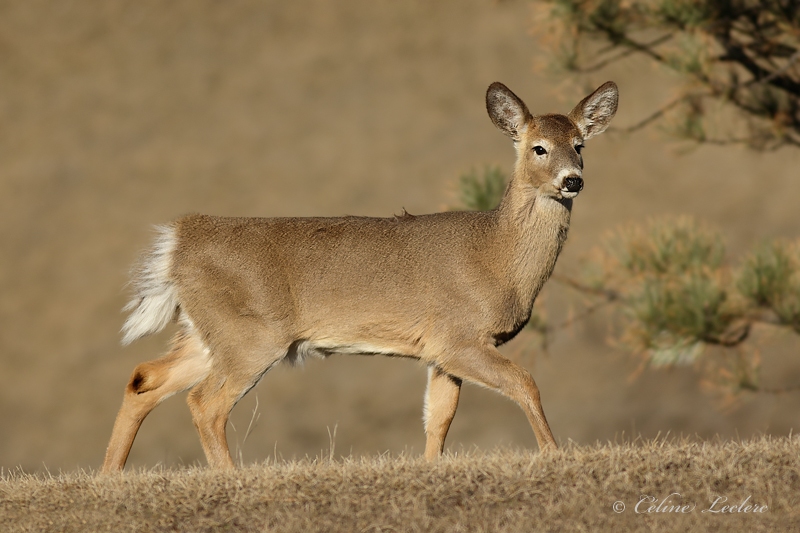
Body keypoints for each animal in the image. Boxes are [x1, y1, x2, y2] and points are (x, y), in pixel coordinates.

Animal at [101, 81, 620, 472]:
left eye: (580, 145)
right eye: (538, 148)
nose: (572, 179)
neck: (496, 255)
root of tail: (179, 240)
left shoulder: (439, 350)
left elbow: (439, 418)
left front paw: (430, 470)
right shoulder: (459, 336)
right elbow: (524, 383)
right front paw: (554, 455)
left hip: (206, 332)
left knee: (144, 378)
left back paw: (111, 476)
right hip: (250, 335)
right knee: (204, 403)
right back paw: (230, 477)